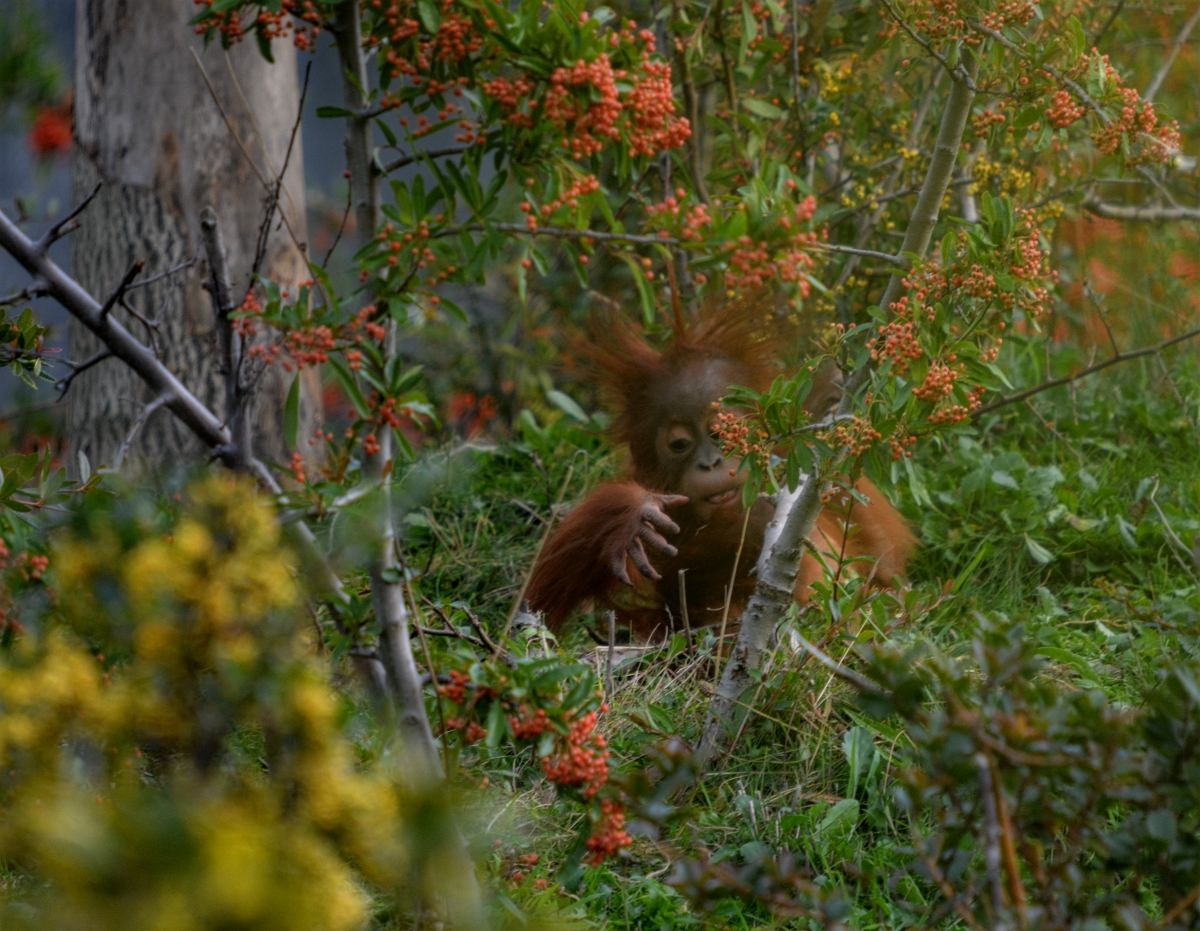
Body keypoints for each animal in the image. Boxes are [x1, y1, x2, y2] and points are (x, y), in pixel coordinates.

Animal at [525, 296, 915, 641]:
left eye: (720, 433)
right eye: (680, 444)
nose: (710, 462)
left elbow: (887, 556)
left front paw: (835, 392)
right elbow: (543, 593)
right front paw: (634, 514)